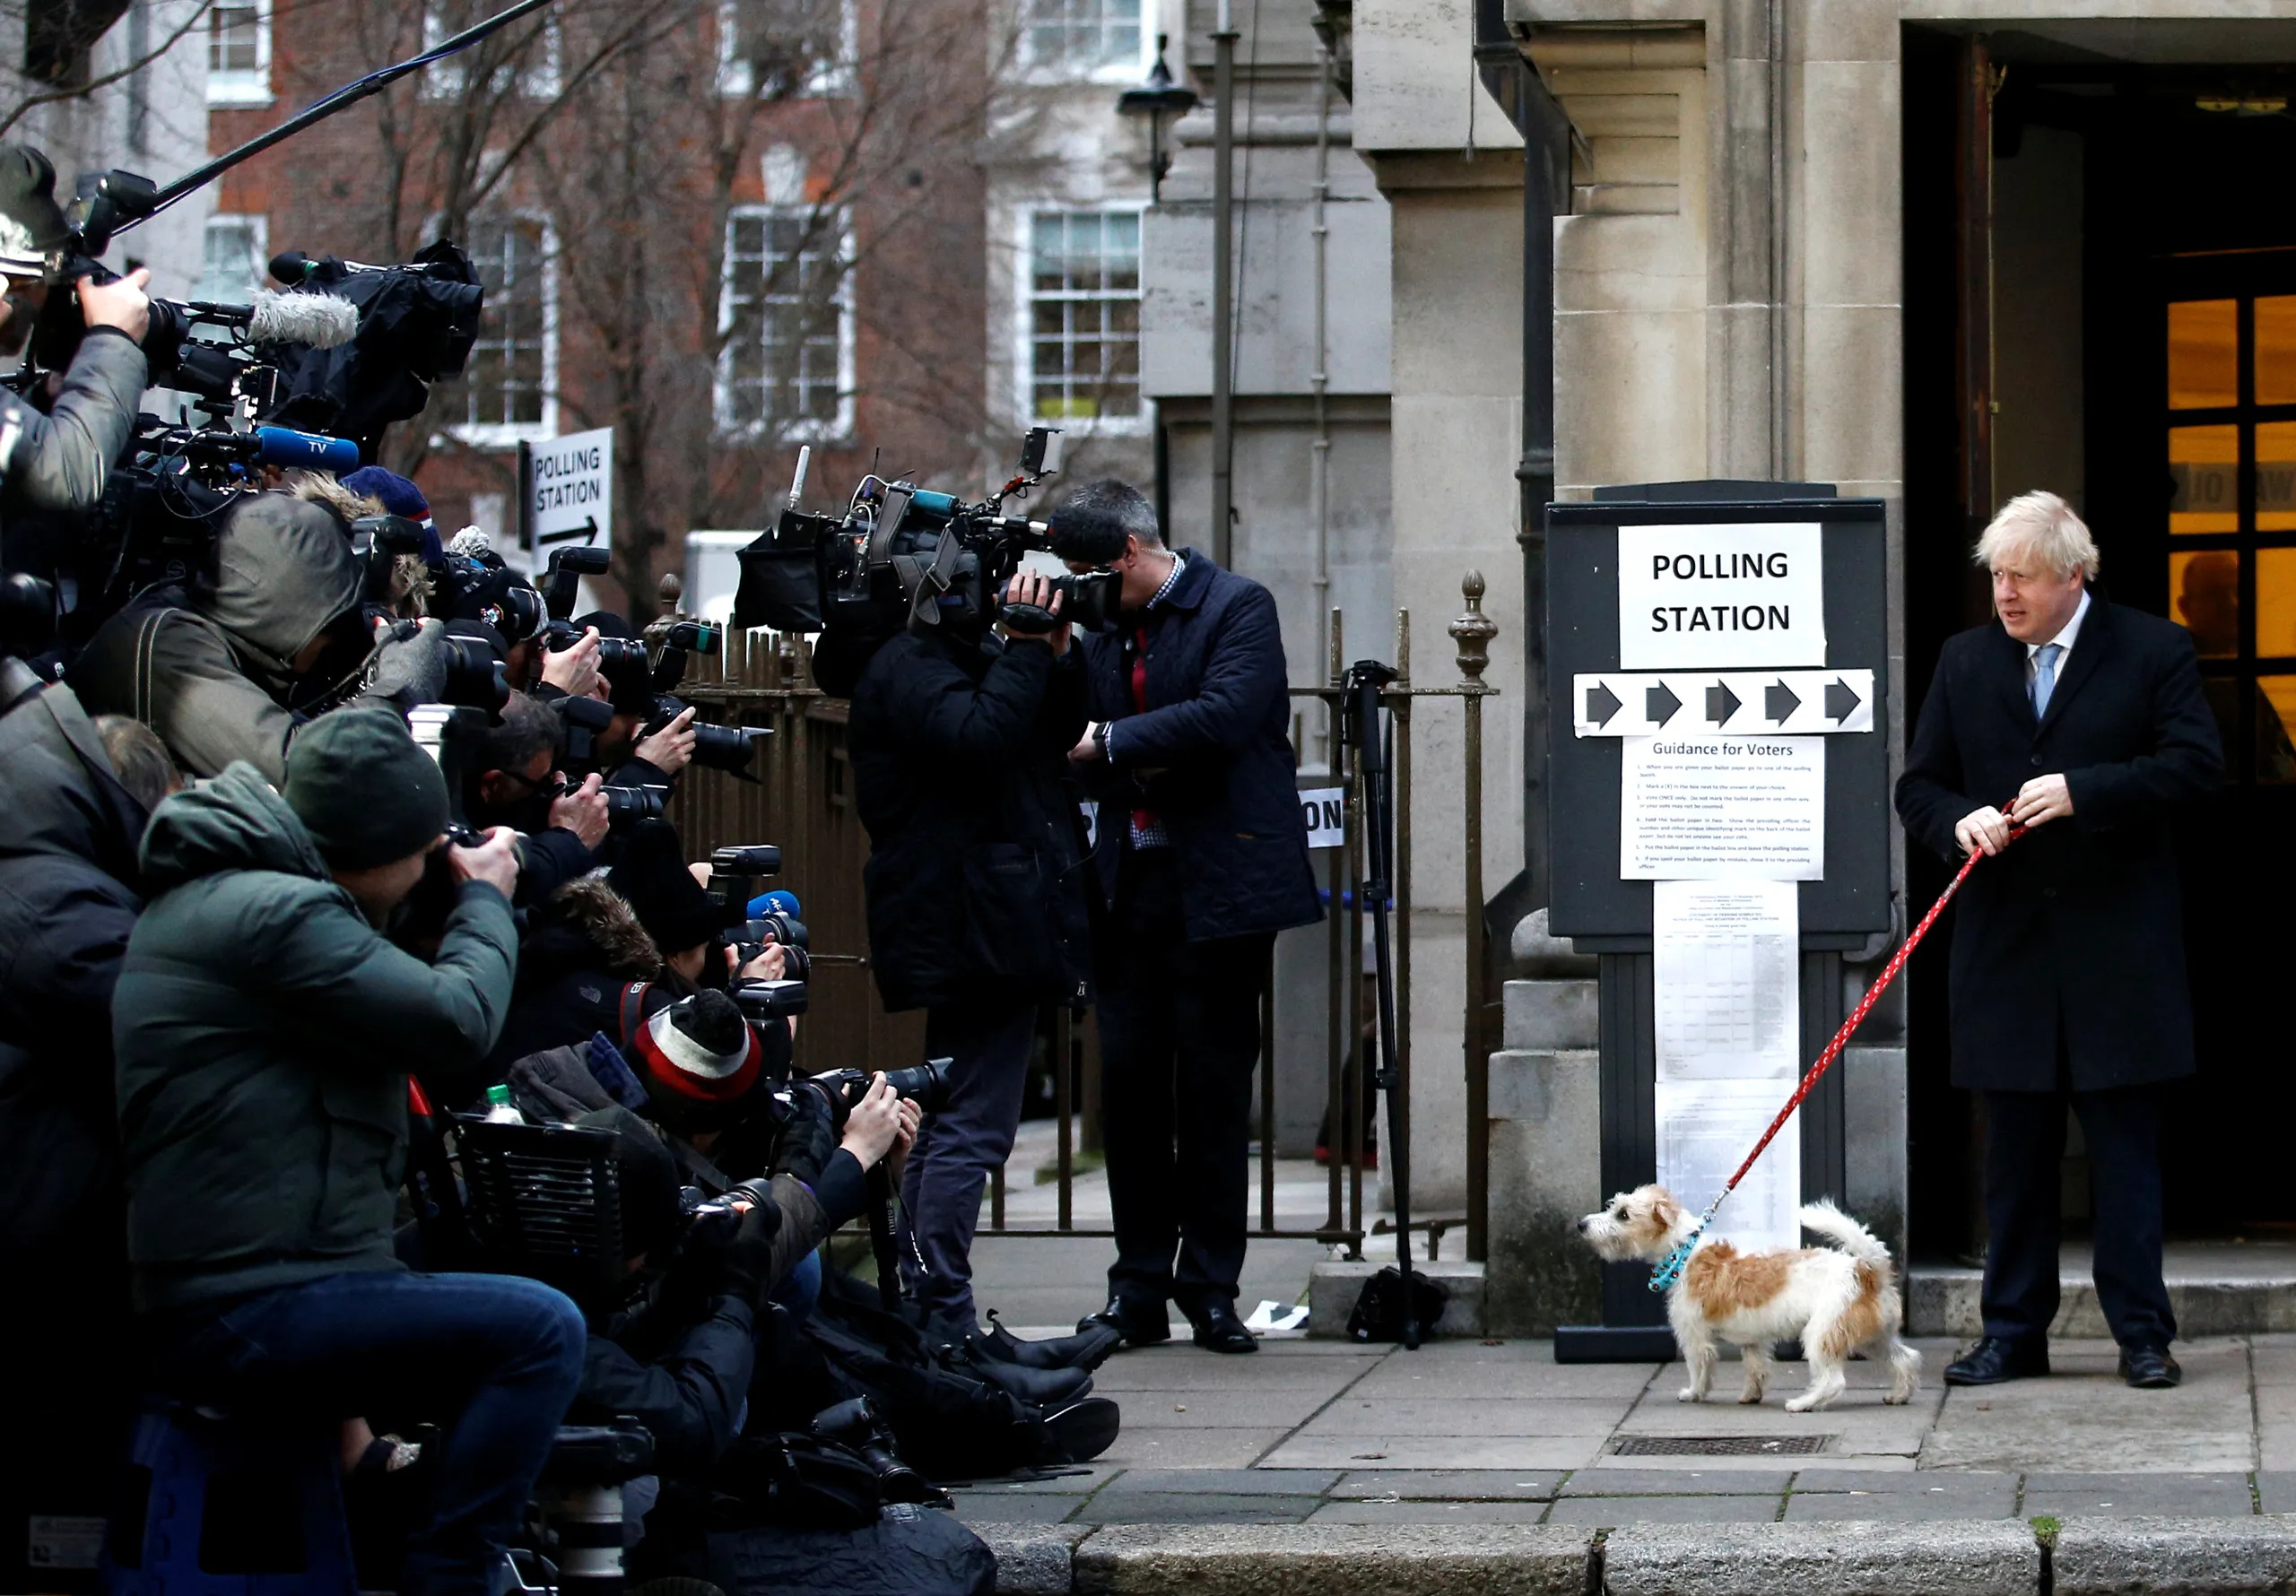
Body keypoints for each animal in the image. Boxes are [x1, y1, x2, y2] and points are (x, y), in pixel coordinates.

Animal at [1579, 1184, 1919, 1414]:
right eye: (1613, 1206)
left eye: (1623, 1214)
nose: (1582, 1225)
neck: (1683, 1252)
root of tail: (1865, 1269)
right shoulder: (1753, 1340)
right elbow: (1756, 1368)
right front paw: (1751, 1395)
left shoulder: (1694, 1337)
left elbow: (1698, 1368)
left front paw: (1694, 1393)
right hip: (1873, 1338)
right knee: (1905, 1359)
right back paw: (1898, 1395)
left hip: (1822, 1335)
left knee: (1833, 1381)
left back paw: (1803, 1403)